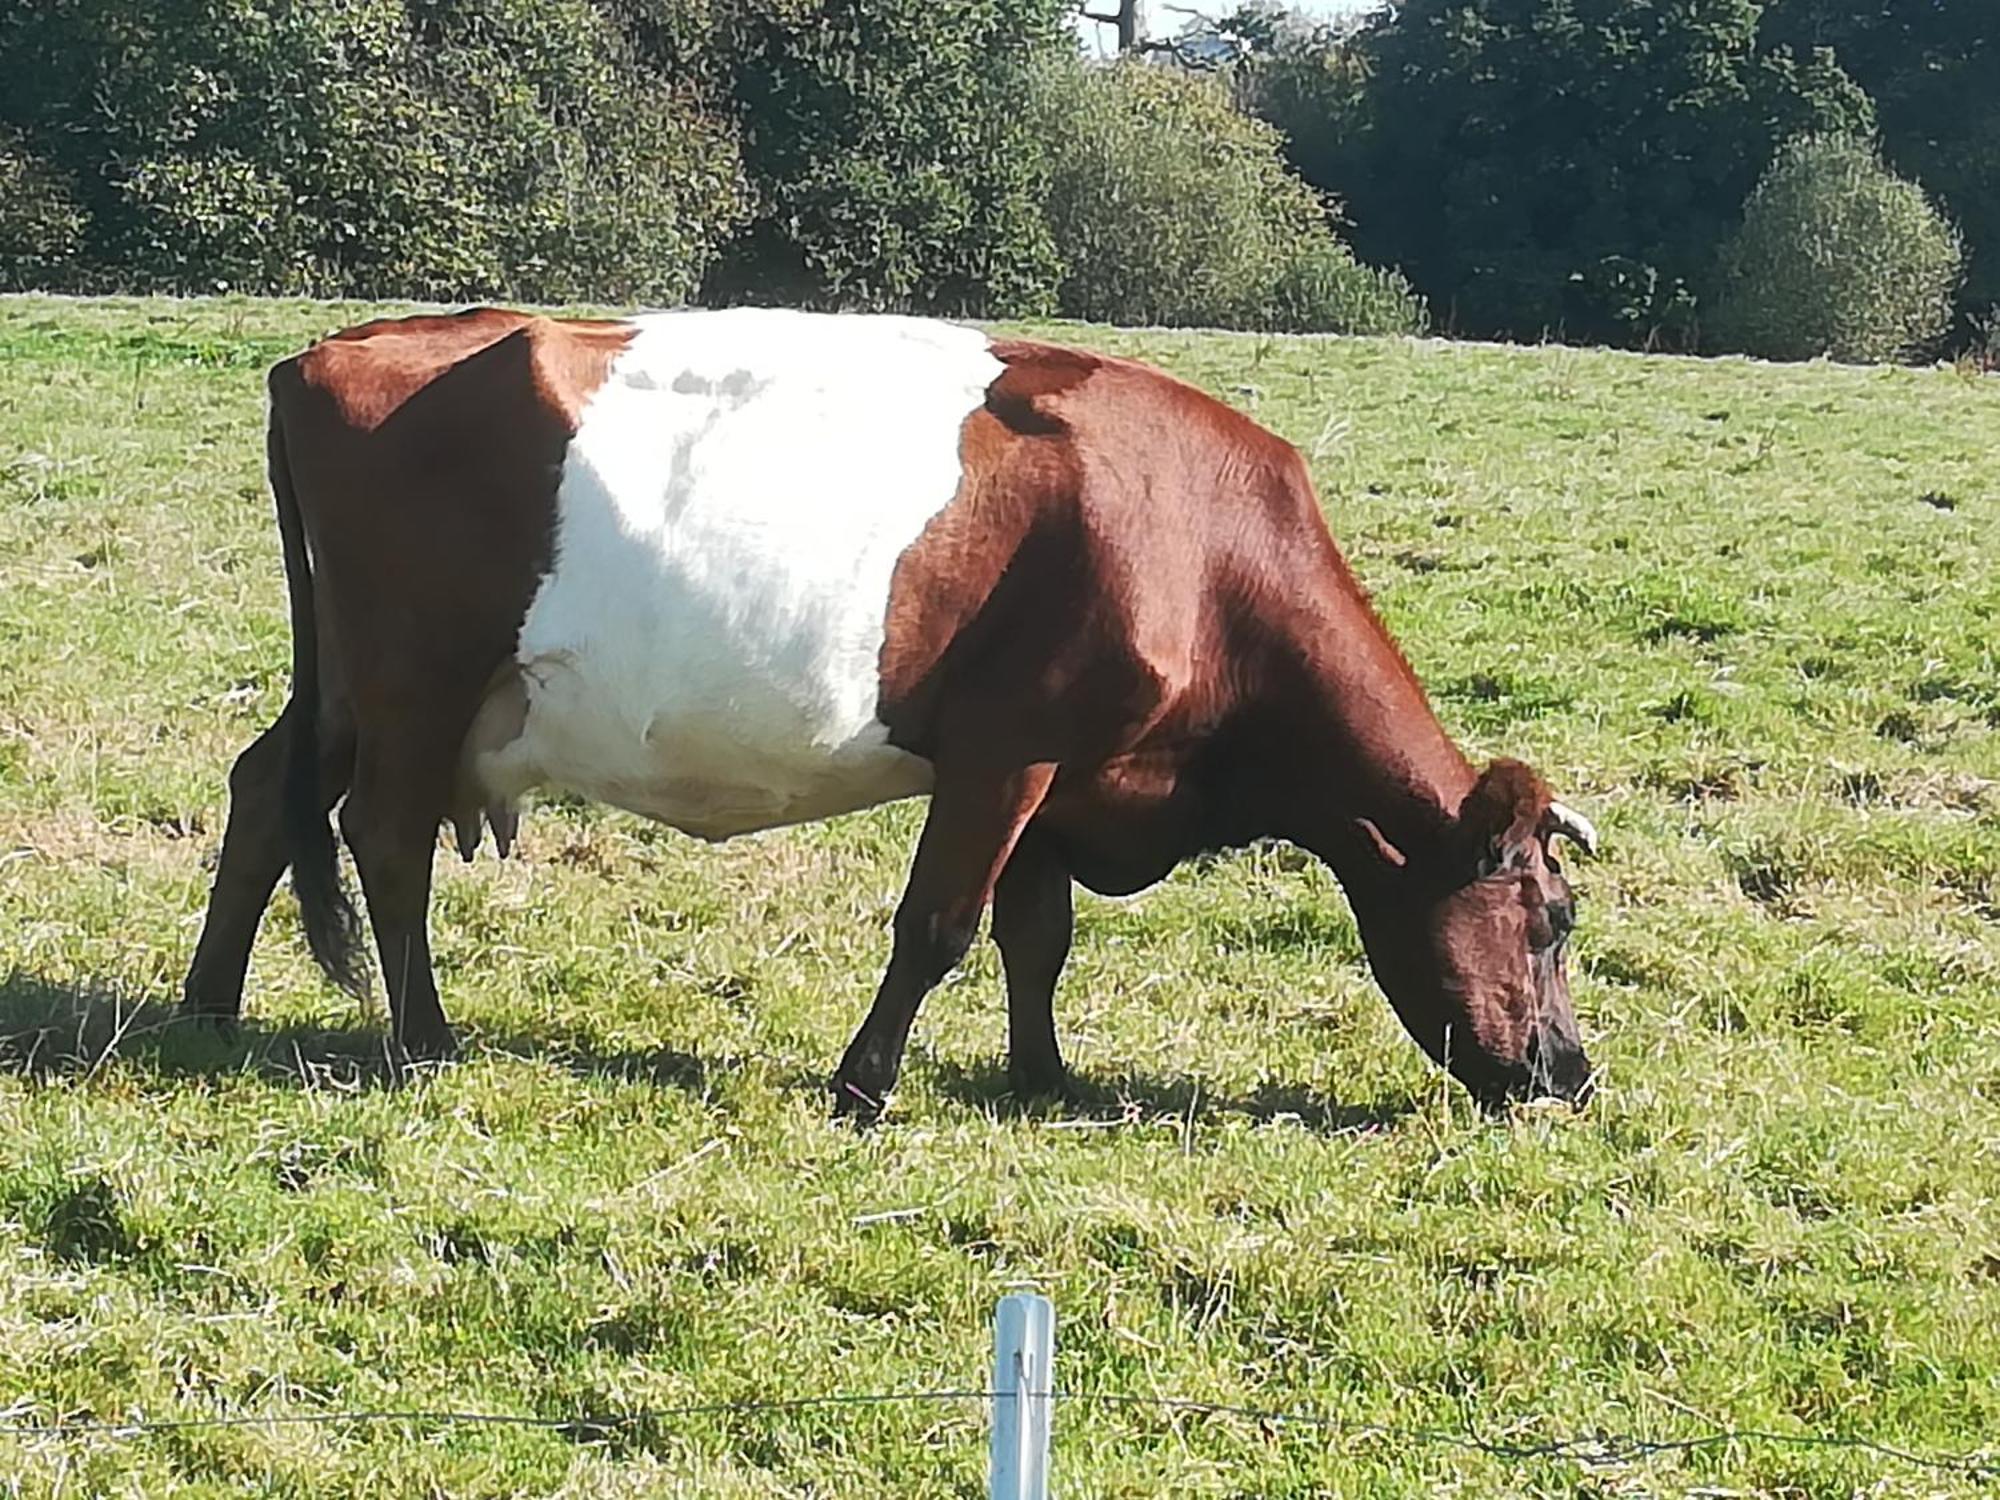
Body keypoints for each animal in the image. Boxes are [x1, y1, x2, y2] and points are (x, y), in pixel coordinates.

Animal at [180, 308, 1600, 1120]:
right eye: (1551, 919)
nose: (1570, 1074)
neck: (1200, 553)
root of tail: (339, 345)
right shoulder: (1008, 750)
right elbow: (940, 925)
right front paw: (864, 1084)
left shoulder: (1055, 773)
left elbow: (1036, 935)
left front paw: (1043, 1076)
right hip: (418, 677)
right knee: (387, 839)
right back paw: (424, 1039)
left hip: (351, 683)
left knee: (262, 791)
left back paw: (208, 1007)